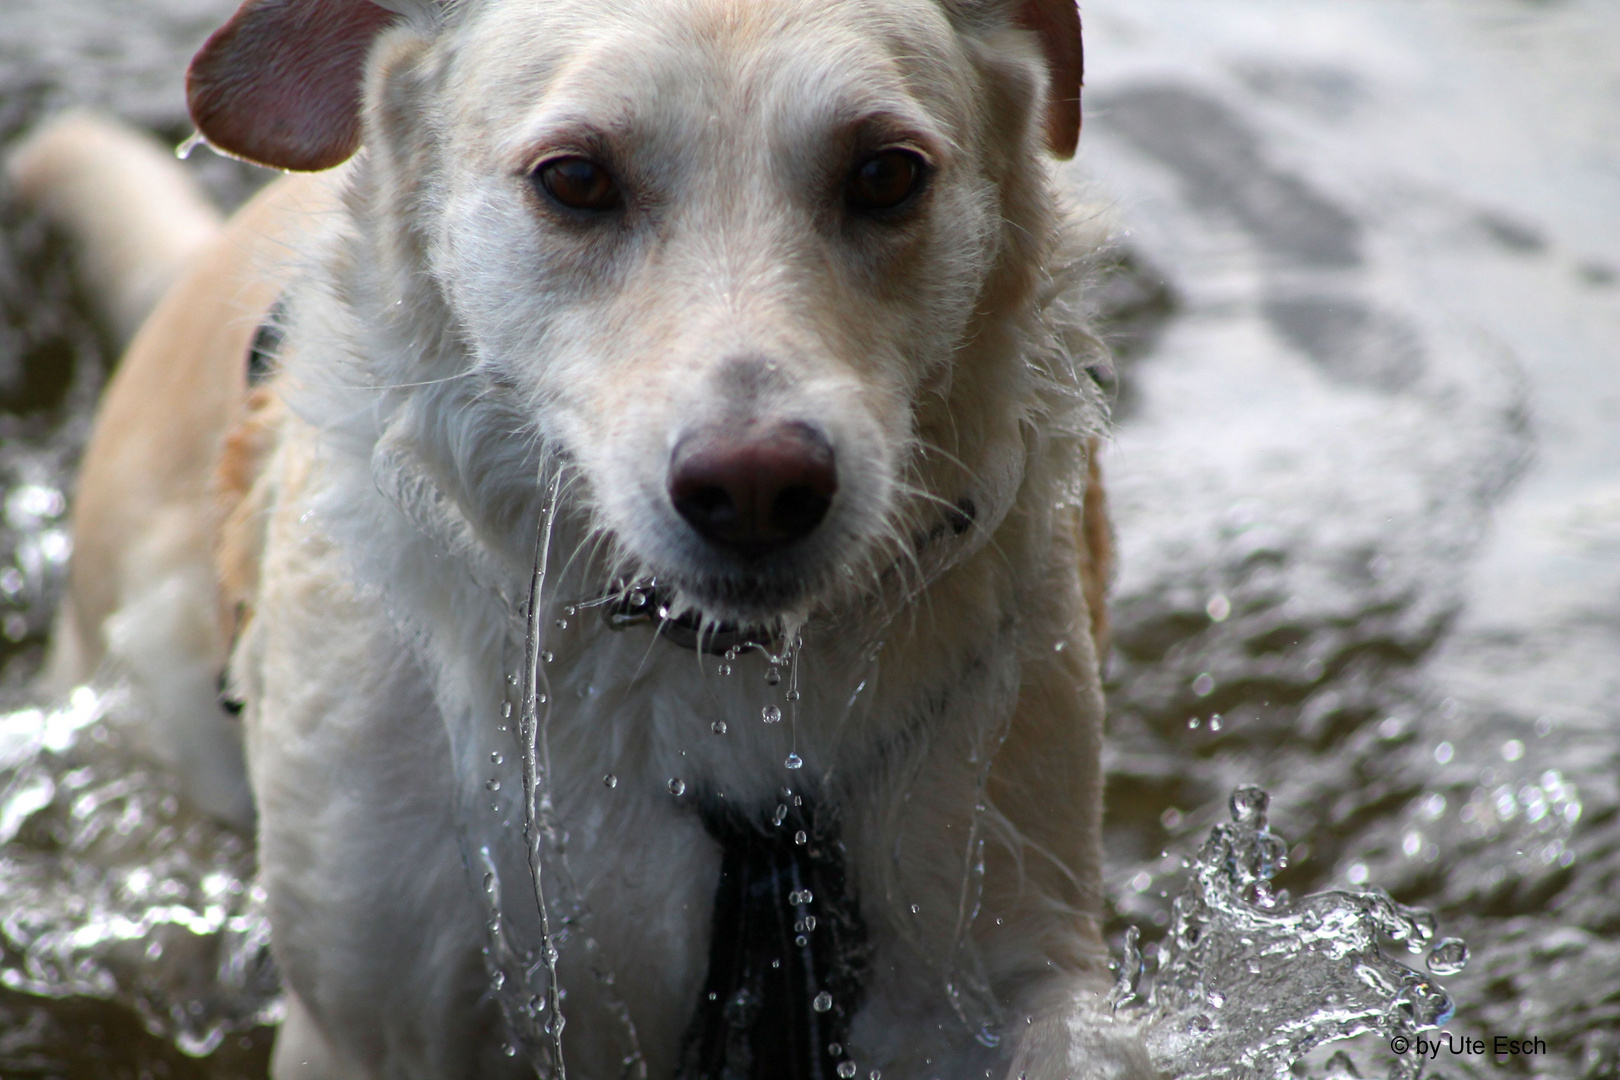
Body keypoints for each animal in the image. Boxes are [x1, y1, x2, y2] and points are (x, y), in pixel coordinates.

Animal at [15, 0, 1153, 1075]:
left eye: (885, 174)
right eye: (575, 179)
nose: (757, 485)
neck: (697, 668)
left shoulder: (1005, 959)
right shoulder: (372, 1027)